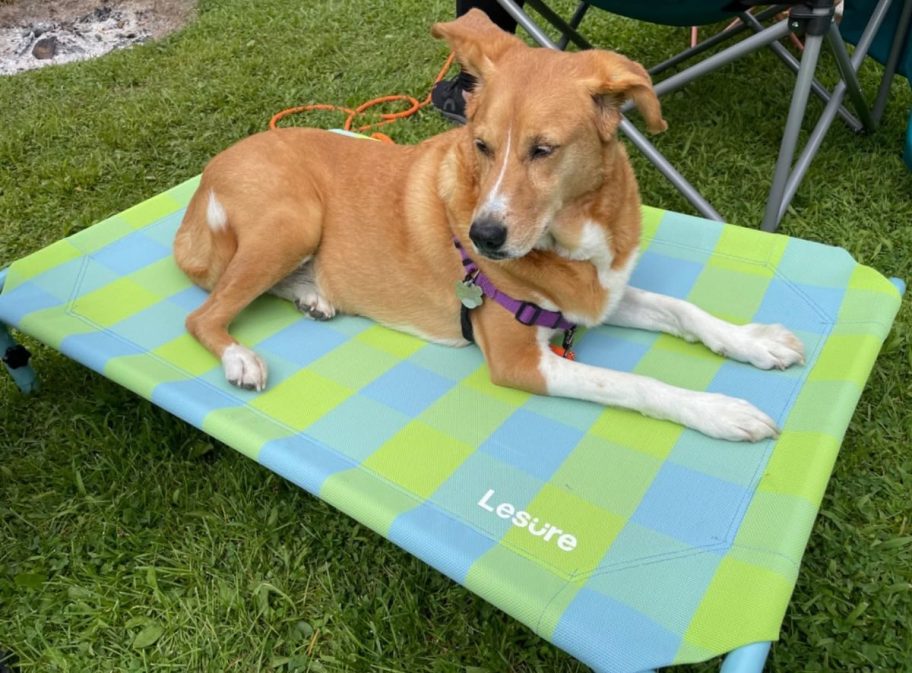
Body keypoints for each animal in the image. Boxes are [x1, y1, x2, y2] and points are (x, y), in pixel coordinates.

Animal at [173, 10, 804, 444]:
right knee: (205, 311)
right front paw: (719, 410)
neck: (574, 236)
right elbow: (632, 383)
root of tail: (209, 171)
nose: (483, 239)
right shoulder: (520, 362)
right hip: (294, 220)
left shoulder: (597, 296)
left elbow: (684, 311)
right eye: (480, 145)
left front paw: (755, 341)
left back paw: (314, 295)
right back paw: (240, 356)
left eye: (543, 150)